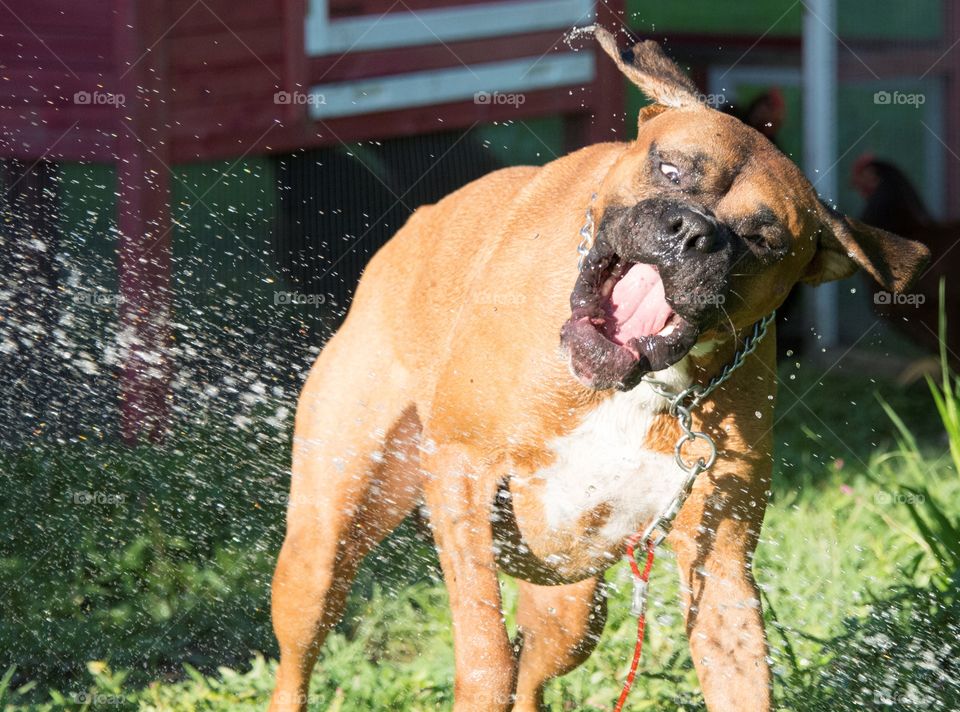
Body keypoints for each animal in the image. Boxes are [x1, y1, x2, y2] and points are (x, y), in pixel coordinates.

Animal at [266, 27, 928, 712]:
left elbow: (742, 677)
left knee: (533, 668)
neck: (639, 387)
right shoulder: (460, 469)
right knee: (302, 655)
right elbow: (484, 653)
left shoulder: (719, 566)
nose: (692, 232)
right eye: (670, 168)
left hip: (573, 607)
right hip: (322, 547)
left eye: (765, 241)